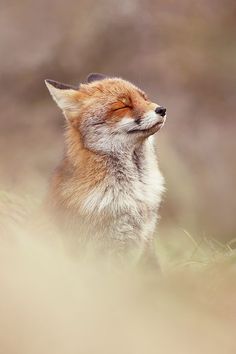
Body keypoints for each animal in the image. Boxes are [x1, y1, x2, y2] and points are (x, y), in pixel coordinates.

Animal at [44, 74, 166, 262]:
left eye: (145, 98)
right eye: (123, 105)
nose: (162, 109)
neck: (136, 195)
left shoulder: (146, 242)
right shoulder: (104, 250)